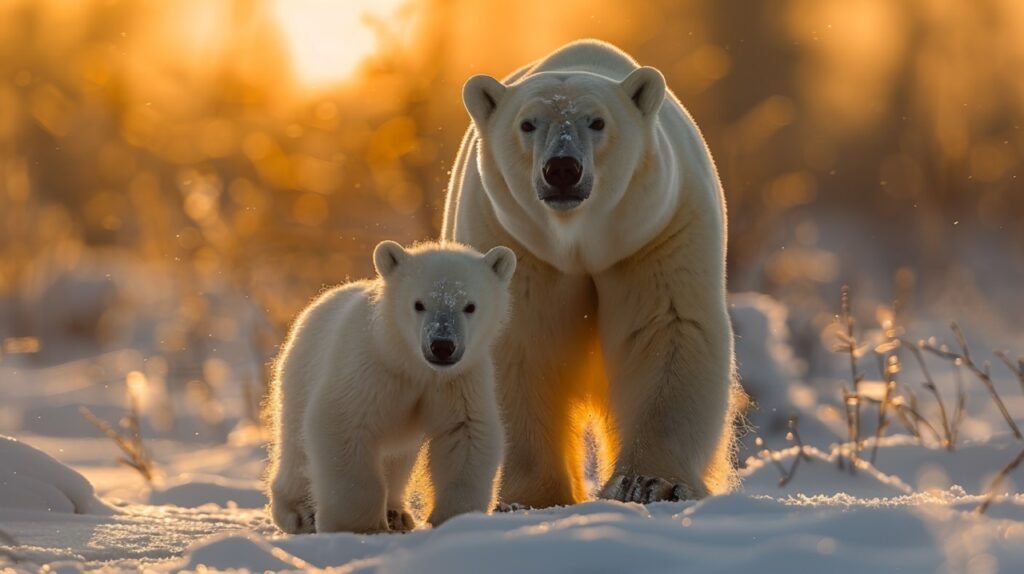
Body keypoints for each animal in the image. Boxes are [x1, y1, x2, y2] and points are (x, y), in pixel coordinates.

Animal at [444, 41, 741, 505]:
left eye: (597, 122)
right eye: (528, 123)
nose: (562, 168)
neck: (579, 240)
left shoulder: (658, 231)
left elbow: (669, 328)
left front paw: (648, 483)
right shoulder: (516, 244)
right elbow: (518, 346)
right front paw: (529, 496)